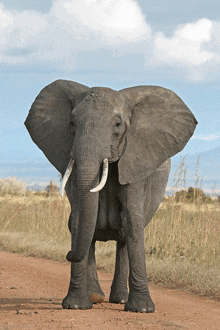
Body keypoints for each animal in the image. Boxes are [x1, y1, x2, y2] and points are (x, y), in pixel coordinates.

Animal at [24, 79, 198, 312]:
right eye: (72, 123)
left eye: (117, 125)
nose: (68, 255)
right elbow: (79, 219)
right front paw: (76, 306)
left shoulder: (135, 162)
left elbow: (132, 220)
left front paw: (142, 309)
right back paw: (95, 296)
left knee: (124, 236)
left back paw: (120, 300)